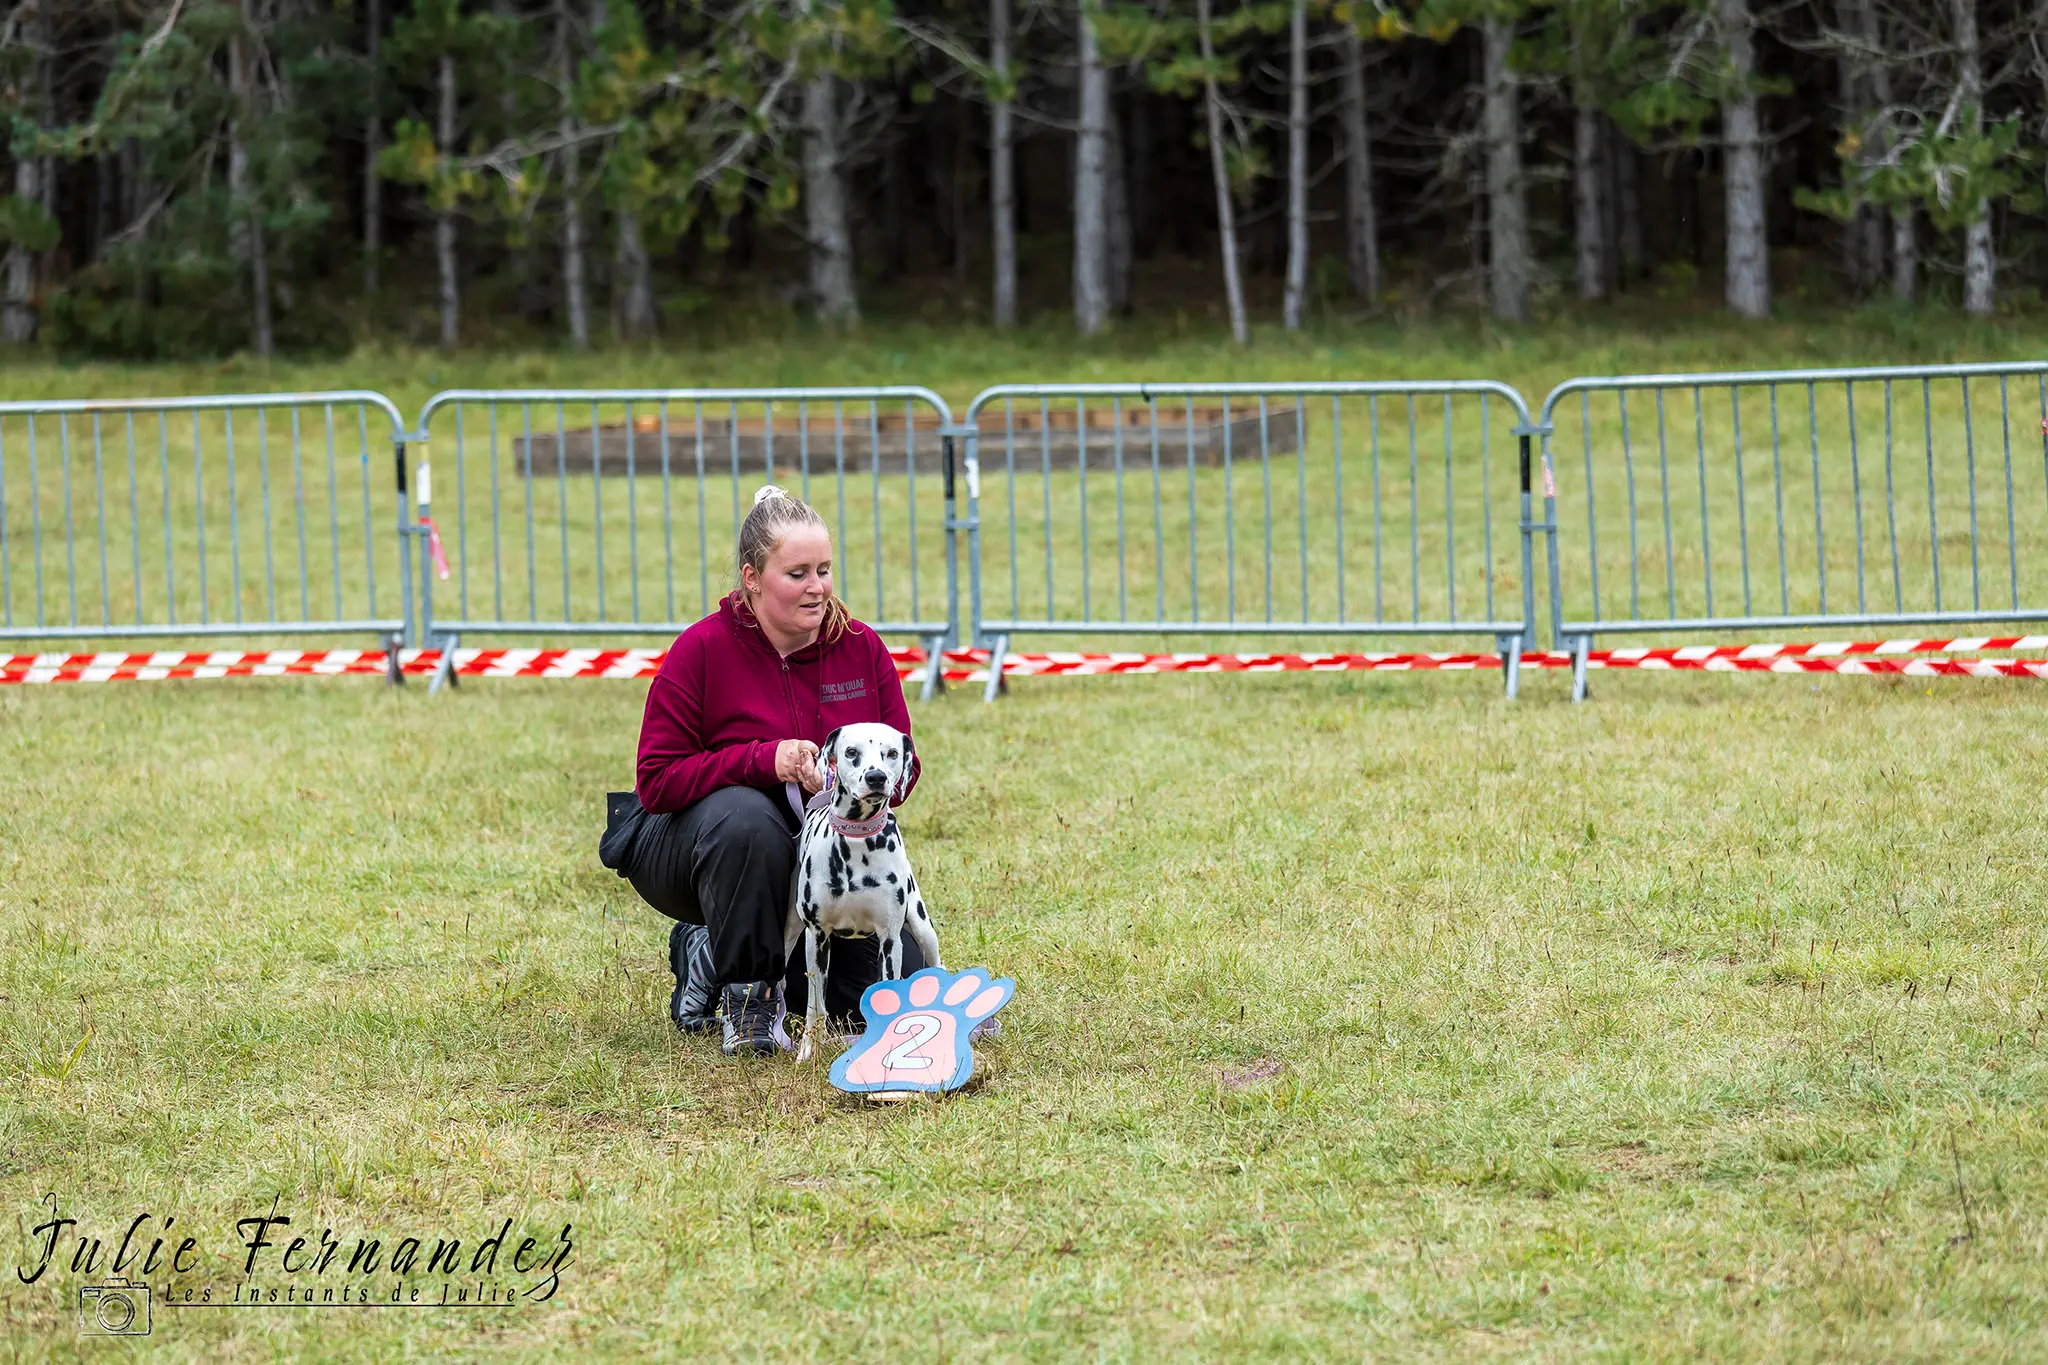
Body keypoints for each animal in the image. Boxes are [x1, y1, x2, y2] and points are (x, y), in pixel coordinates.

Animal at [782, 720, 942, 1064]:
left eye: (892, 753)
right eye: (851, 751)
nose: (876, 778)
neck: (857, 842)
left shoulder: (890, 940)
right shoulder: (817, 939)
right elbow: (816, 1006)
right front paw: (808, 1050)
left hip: (923, 930)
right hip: (790, 931)